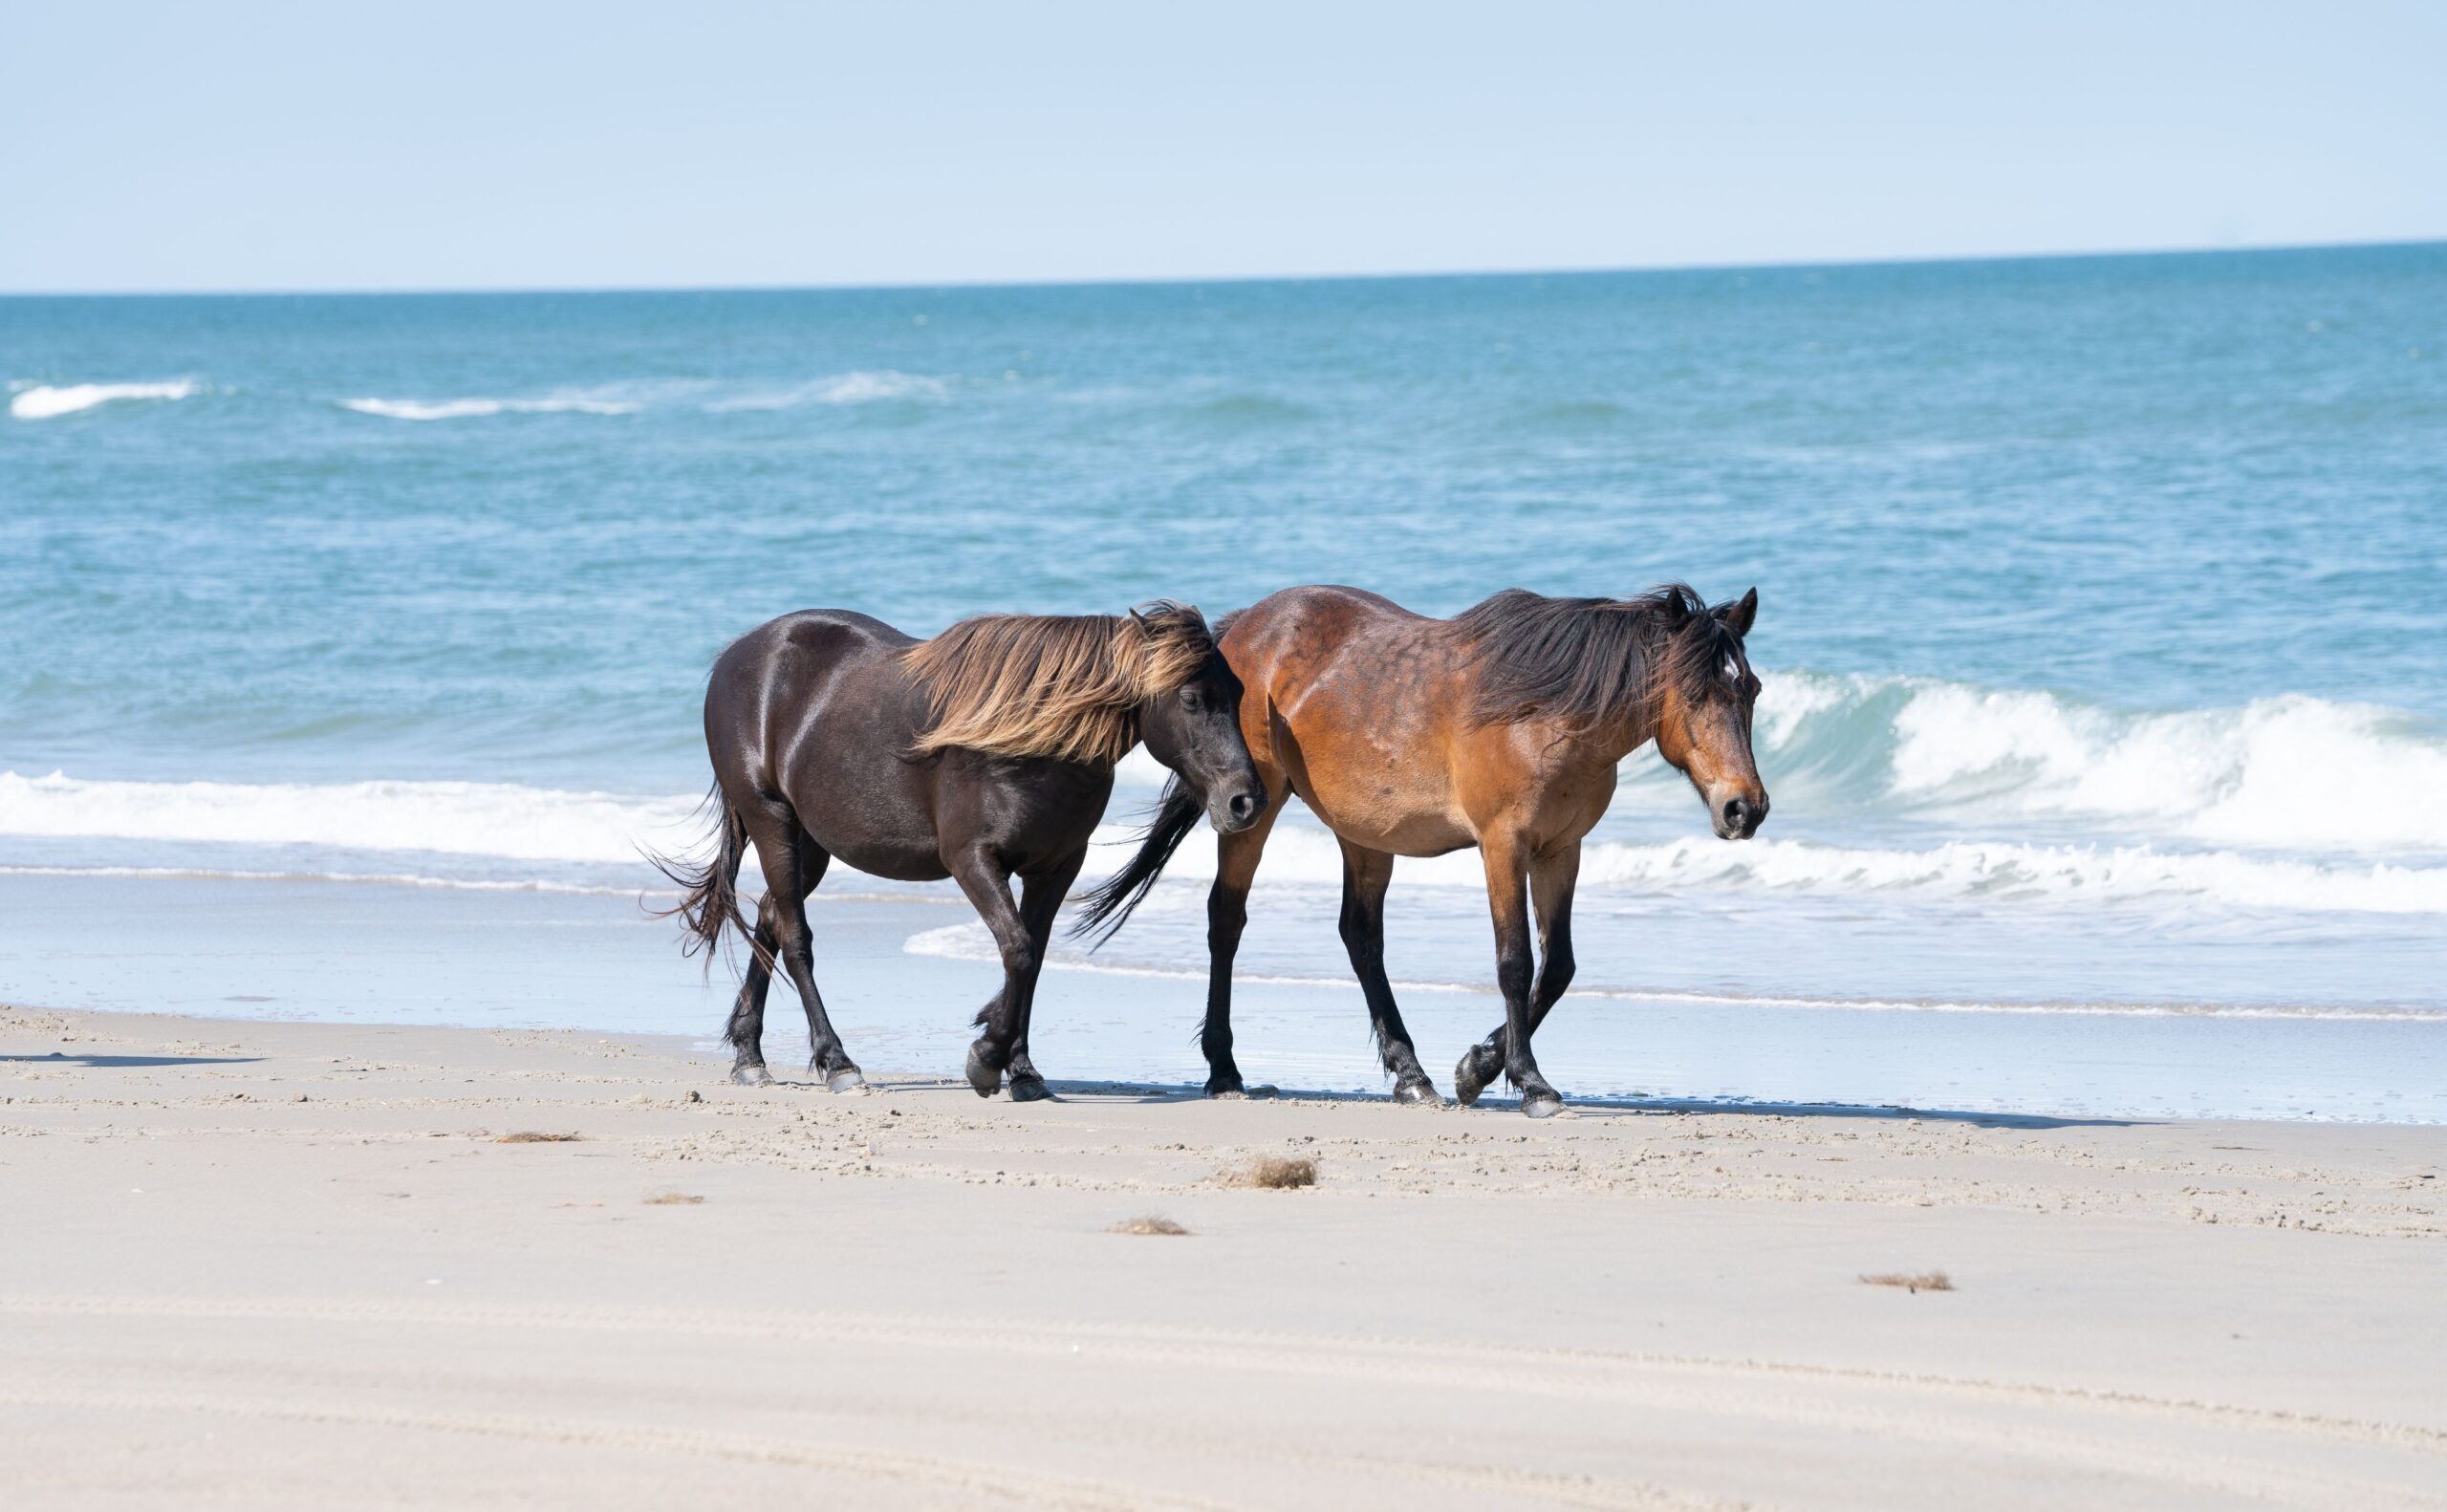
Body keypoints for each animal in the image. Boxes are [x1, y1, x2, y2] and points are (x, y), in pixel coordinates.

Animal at [657, 602, 1266, 1098]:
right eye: (1191, 698)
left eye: (1238, 695)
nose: (1246, 801)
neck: (1028, 746)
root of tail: (738, 656)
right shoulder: (972, 860)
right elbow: (1018, 949)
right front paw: (987, 1059)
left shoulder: (1055, 868)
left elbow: (1032, 958)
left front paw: (1021, 1069)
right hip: (772, 822)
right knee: (796, 938)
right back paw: (838, 1063)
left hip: (812, 844)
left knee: (770, 916)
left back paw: (748, 1055)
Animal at [1074, 584, 1767, 1118]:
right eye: (1696, 694)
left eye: (1753, 690)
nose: (1746, 808)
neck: (1546, 715)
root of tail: (1245, 627)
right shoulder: (1503, 846)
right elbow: (1515, 962)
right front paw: (1530, 1083)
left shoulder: (1560, 850)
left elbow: (1558, 968)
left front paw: (1475, 1068)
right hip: (1254, 808)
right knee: (1227, 919)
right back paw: (1225, 1069)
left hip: (1364, 837)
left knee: (1360, 938)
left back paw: (1412, 1075)